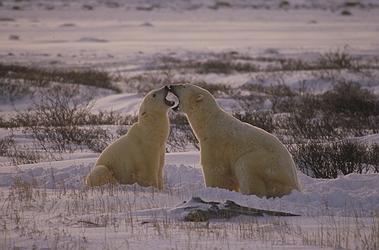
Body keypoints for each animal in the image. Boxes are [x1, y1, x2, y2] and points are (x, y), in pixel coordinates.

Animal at [169, 85, 302, 198]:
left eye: (184, 86)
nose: (170, 86)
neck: (209, 122)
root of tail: (295, 187)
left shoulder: (215, 143)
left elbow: (215, 169)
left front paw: (216, 190)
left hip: (269, 167)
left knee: (244, 166)